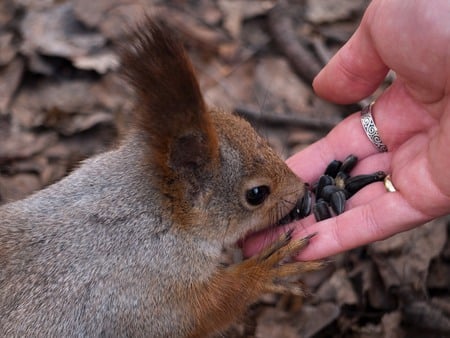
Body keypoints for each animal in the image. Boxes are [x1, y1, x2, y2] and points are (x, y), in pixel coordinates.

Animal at [0, 17, 322, 336]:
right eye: (257, 194)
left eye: (250, 129)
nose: (302, 191)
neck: (156, 214)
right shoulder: (149, 291)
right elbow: (208, 309)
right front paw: (265, 269)